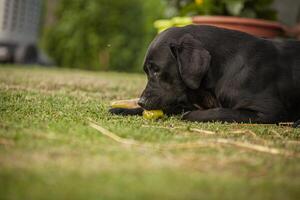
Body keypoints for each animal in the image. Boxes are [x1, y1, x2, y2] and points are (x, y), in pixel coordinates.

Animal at [110, 25, 300, 126]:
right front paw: (123, 109)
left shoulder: (269, 111)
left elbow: (219, 112)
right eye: (147, 71)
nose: (141, 101)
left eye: (156, 70)